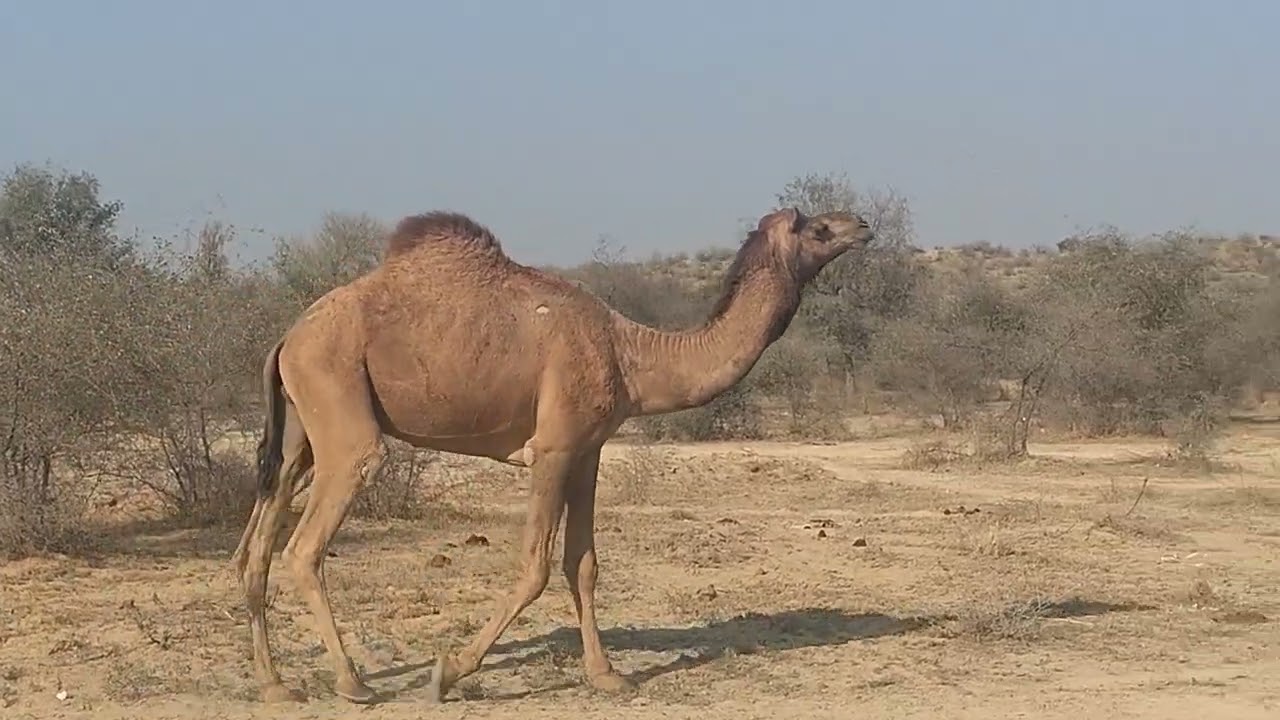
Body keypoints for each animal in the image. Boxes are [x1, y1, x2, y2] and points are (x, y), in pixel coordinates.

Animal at [229, 205, 874, 704]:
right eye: (818, 228)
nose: (863, 225)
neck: (631, 355)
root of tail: (286, 338)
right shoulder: (553, 446)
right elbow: (536, 566)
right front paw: (448, 671)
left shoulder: (589, 449)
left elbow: (582, 564)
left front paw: (608, 676)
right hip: (337, 400)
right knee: (306, 544)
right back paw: (352, 683)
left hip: (301, 431)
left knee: (258, 542)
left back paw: (276, 685)